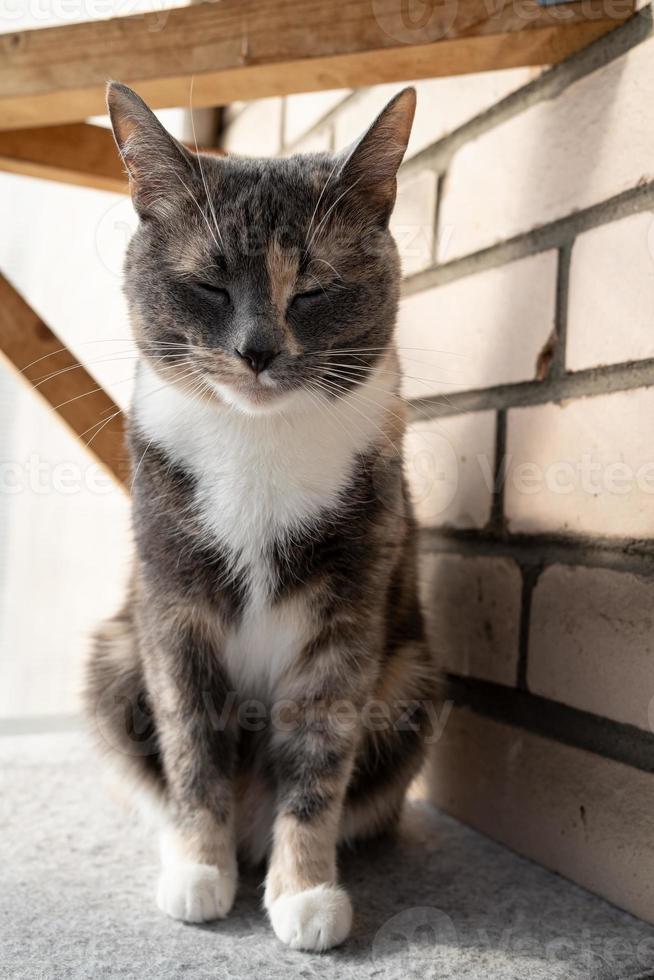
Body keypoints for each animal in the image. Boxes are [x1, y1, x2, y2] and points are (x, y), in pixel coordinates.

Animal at [86, 80, 436, 952]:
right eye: (210, 286)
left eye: (314, 290)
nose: (258, 349)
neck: (257, 445)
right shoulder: (170, 603)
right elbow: (192, 742)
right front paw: (198, 869)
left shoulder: (350, 604)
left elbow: (318, 751)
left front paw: (305, 891)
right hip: (112, 658)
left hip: (412, 681)